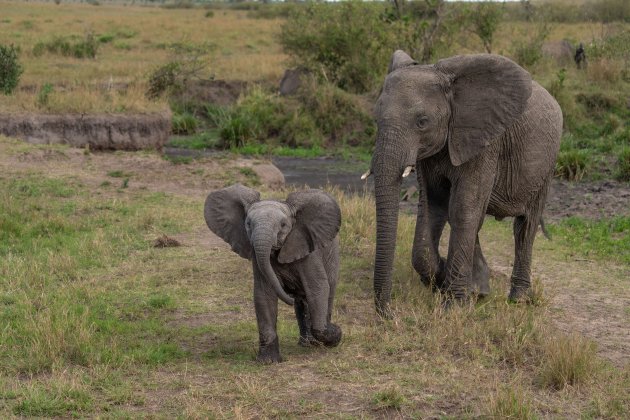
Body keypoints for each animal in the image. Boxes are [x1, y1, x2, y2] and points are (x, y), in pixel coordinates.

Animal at [205, 185, 344, 362]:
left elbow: (318, 288)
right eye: (248, 224)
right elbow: (264, 294)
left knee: (327, 292)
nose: (289, 299)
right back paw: (306, 343)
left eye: (283, 225)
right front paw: (268, 361)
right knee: (301, 302)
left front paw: (336, 333)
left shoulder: (309, 253)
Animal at [368, 50, 564, 316]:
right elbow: (434, 207)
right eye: (376, 119)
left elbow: (462, 211)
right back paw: (479, 289)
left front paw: (453, 305)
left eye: (422, 122)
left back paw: (518, 299)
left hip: (547, 163)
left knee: (525, 226)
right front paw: (441, 280)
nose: (389, 313)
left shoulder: (485, 143)